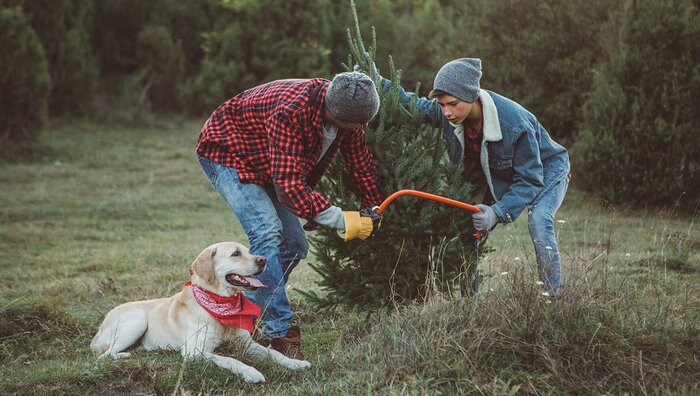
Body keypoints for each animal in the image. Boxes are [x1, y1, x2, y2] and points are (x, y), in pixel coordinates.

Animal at [89, 241, 308, 384]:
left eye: (249, 251)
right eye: (235, 254)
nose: (263, 260)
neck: (220, 303)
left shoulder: (246, 344)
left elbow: (273, 353)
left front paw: (295, 363)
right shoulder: (195, 351)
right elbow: (230, 359)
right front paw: (251, 372)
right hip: (137, 319)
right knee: (104, 355)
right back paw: (124, 355)